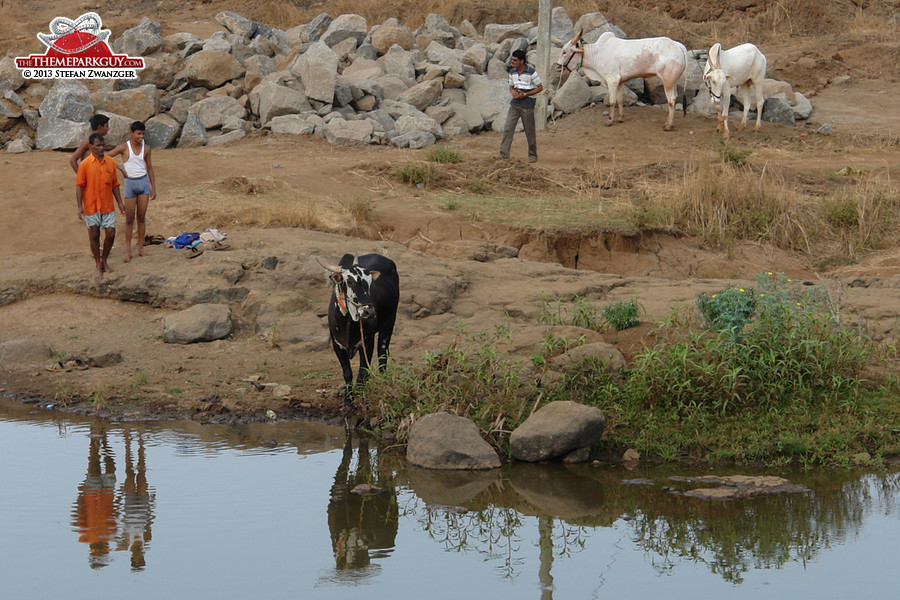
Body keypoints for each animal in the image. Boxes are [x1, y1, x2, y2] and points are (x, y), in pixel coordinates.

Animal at [326, 251, 400, 406]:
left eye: (370, 283)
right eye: (350, 282)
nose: (369, 312)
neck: (348, 324)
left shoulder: (367, 342)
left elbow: (363, 373)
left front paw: (364, 400)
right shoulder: (337, 345)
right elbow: (347, 373)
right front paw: (348, 402)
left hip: (390, 321)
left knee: (382, 354)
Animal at [556, 29, 688, 131]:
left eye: (564, 52)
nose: (557, 67)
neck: (597, 54)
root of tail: (678, 45)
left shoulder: (612, 80)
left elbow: (612, 101)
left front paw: (610, 120)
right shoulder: (619, 82)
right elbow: (619, 99)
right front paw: (620, 118)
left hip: (667, 81)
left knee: (671, 100)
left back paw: (668, 125)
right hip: (673, 82)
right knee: (675, 98)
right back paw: (670, 123)